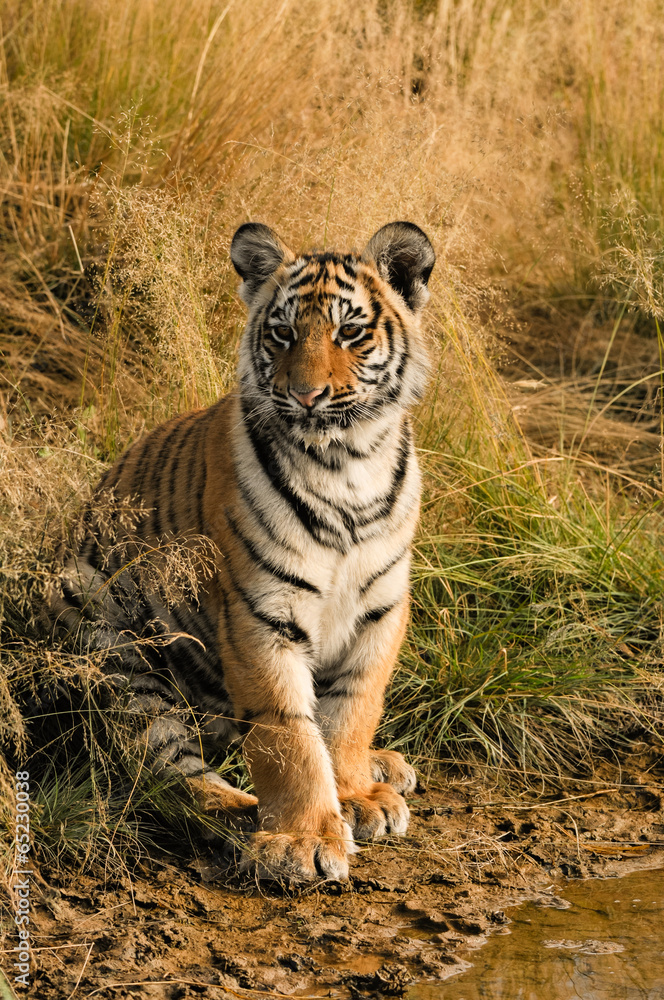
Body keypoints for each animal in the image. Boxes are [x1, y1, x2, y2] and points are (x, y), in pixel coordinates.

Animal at [47, 220, 436, 883]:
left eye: (349, 332)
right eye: (282, 333)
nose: (306, 395)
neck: (348, 463)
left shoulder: (381, 606)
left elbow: (352, 711)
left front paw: (357, 794)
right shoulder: (260, 614)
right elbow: (288, 736)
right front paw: (303, 839)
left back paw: (385, 767)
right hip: (105, 633)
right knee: (166, 771)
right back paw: (239, 815)